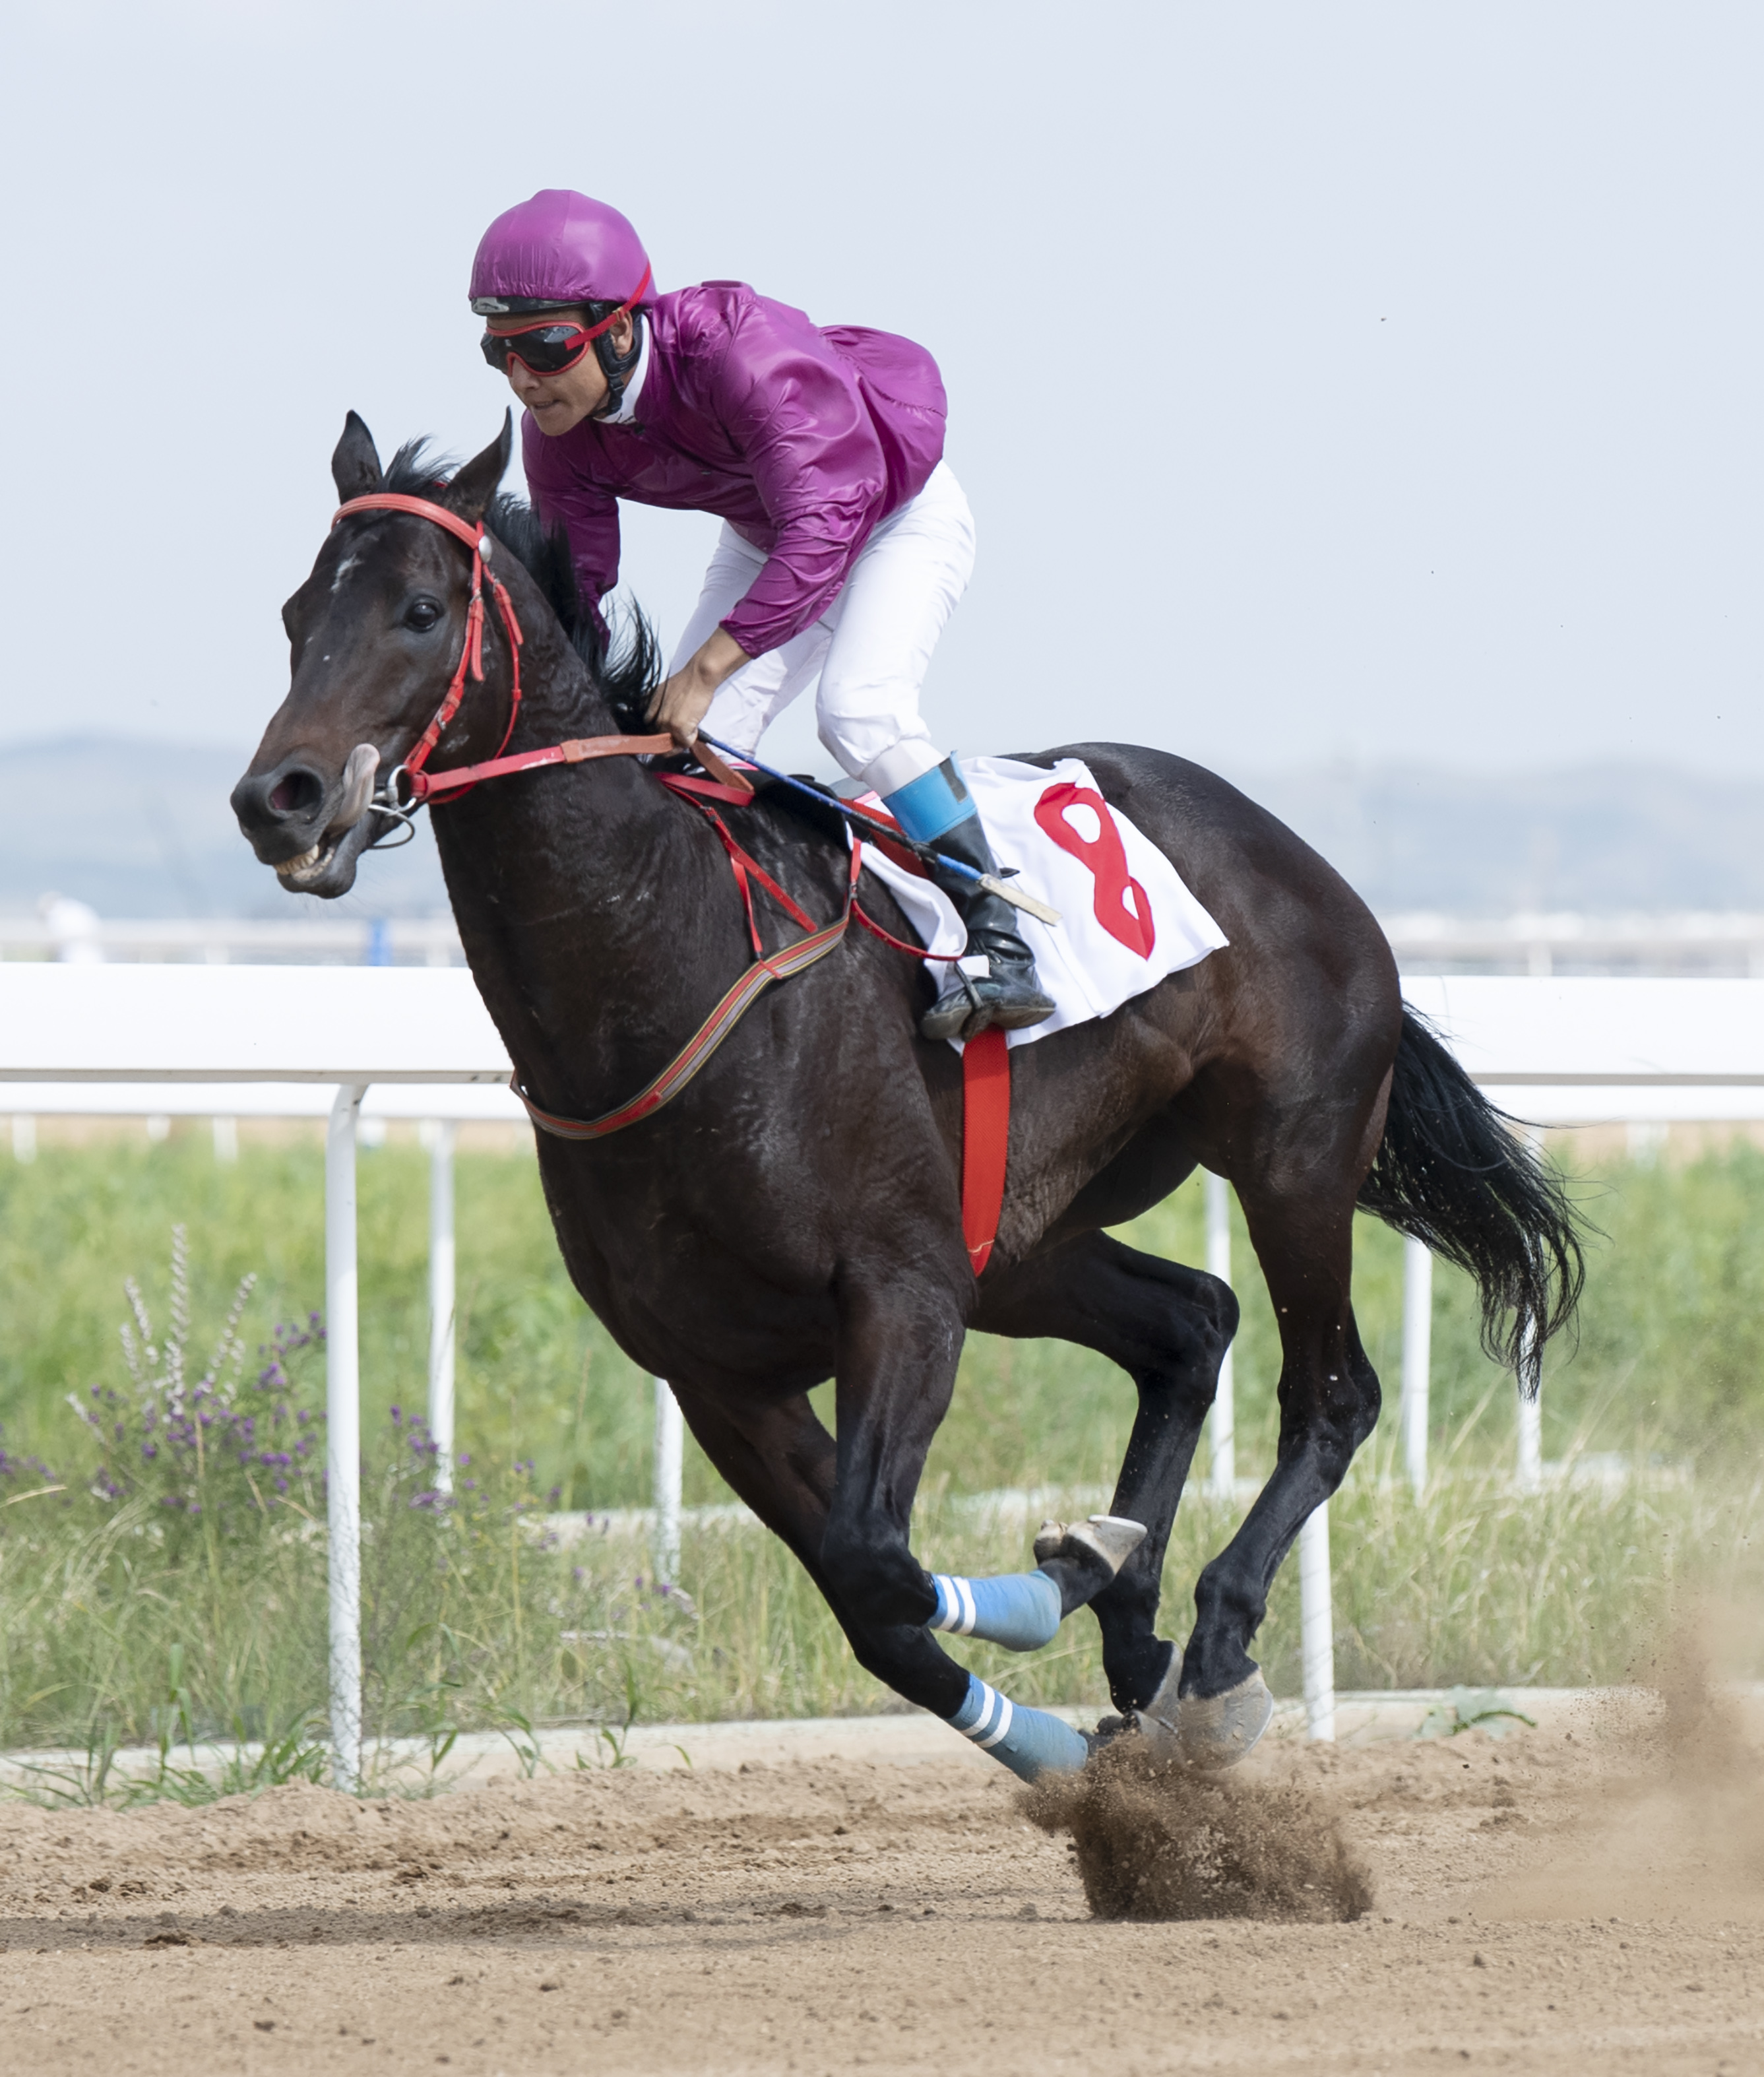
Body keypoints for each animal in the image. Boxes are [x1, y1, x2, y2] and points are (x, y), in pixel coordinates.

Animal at [234, 413, 1579, 1777]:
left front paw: (1065, 1597)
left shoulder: (903, 1292)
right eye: (296, 613)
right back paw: (1131, 1611)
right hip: (1023, 1236)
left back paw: (1206, 1638)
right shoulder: (716, 1369)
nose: (277, 798)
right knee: (1188, 1322)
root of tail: (1299, 858)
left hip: (1289, 1160)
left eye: (418, 609)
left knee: (1328, 1395)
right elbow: (868, 1598)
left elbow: (874, 1559)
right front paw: (1059, 1696)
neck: (667, 961)